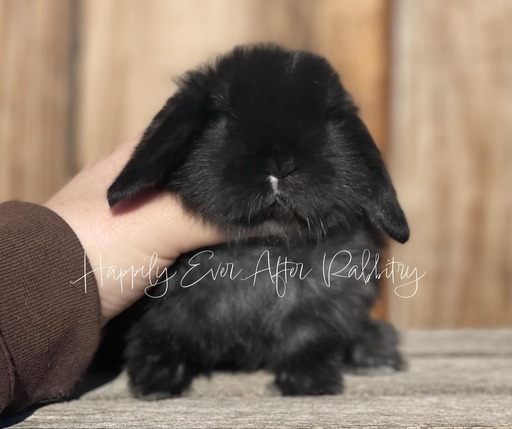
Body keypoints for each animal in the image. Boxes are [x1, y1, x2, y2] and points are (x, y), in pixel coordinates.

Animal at [107, 44, 408, 398]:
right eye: (222, 113)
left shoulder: (327, 301)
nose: (280, 163)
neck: (264, 249)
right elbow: (161, 335)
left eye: (329, 119)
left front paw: (310, 381)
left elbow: (308, 339)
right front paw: (156, 380)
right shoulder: (165, 310)